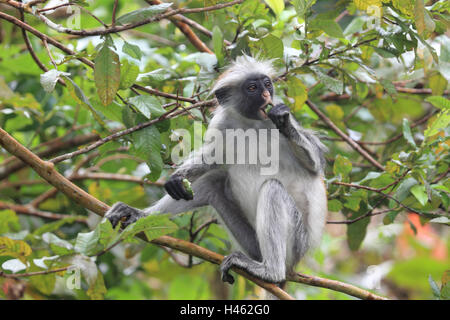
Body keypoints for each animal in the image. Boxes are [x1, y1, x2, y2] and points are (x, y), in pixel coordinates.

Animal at [105, 55, 326, 284]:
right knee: (212, 182)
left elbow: (315, 164)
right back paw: (138, 216)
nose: (266, 95)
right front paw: (178, 177)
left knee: (272, 188)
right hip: (252, 243)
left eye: (267, 84)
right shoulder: (223, 123)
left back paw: (270, 272)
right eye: (252, 88)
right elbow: (211, 159)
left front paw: (283, 118)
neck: (252, 124)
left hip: (296, 242)